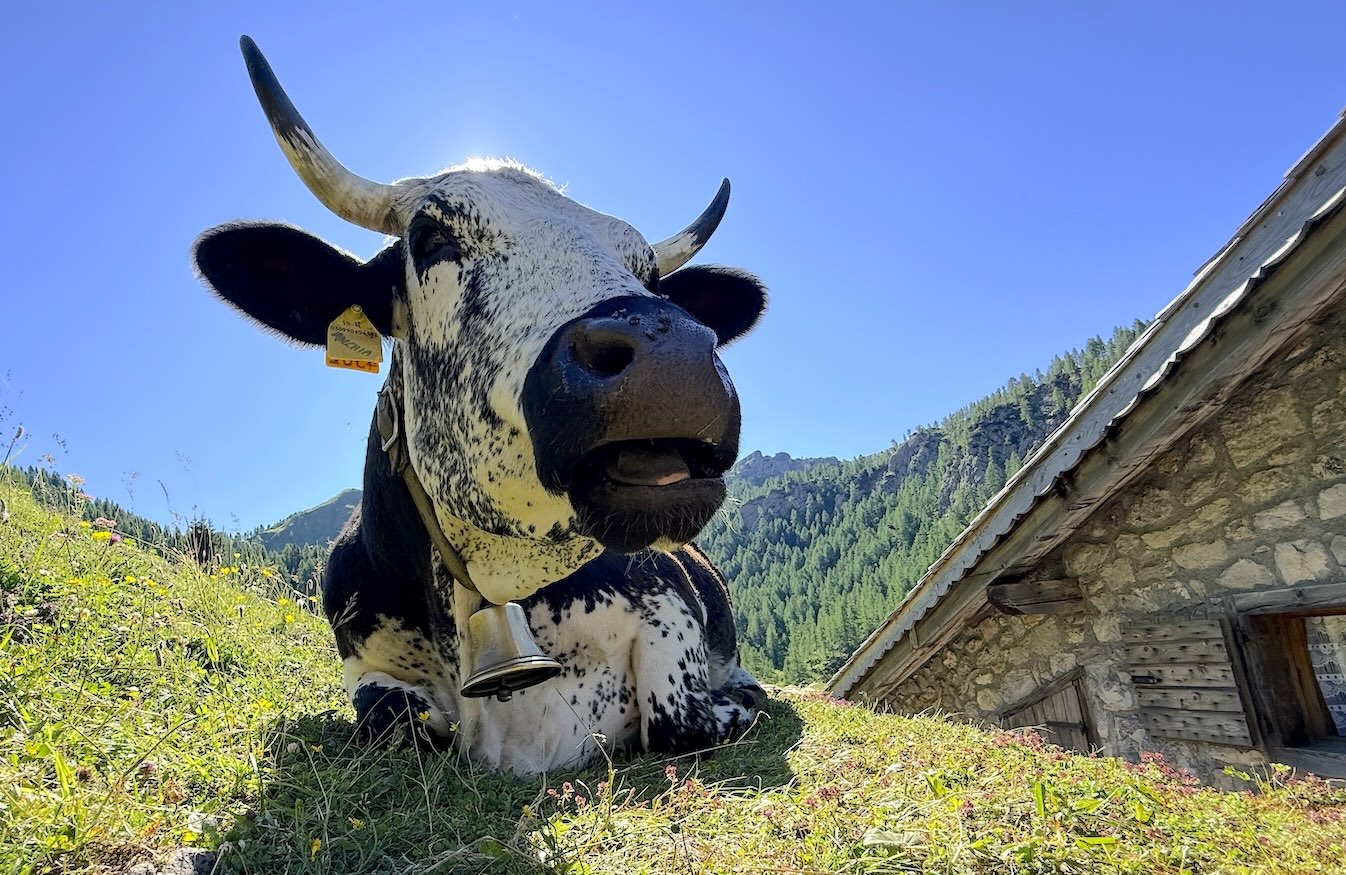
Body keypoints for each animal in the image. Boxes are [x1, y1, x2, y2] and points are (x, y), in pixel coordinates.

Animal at [192, 37, 768, 773]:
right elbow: (390, 721)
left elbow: (680, 720)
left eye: (649, 273)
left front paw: (740, 699)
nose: (674, 359)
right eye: (430, 238)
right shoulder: (364, 666)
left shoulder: (668, 607)